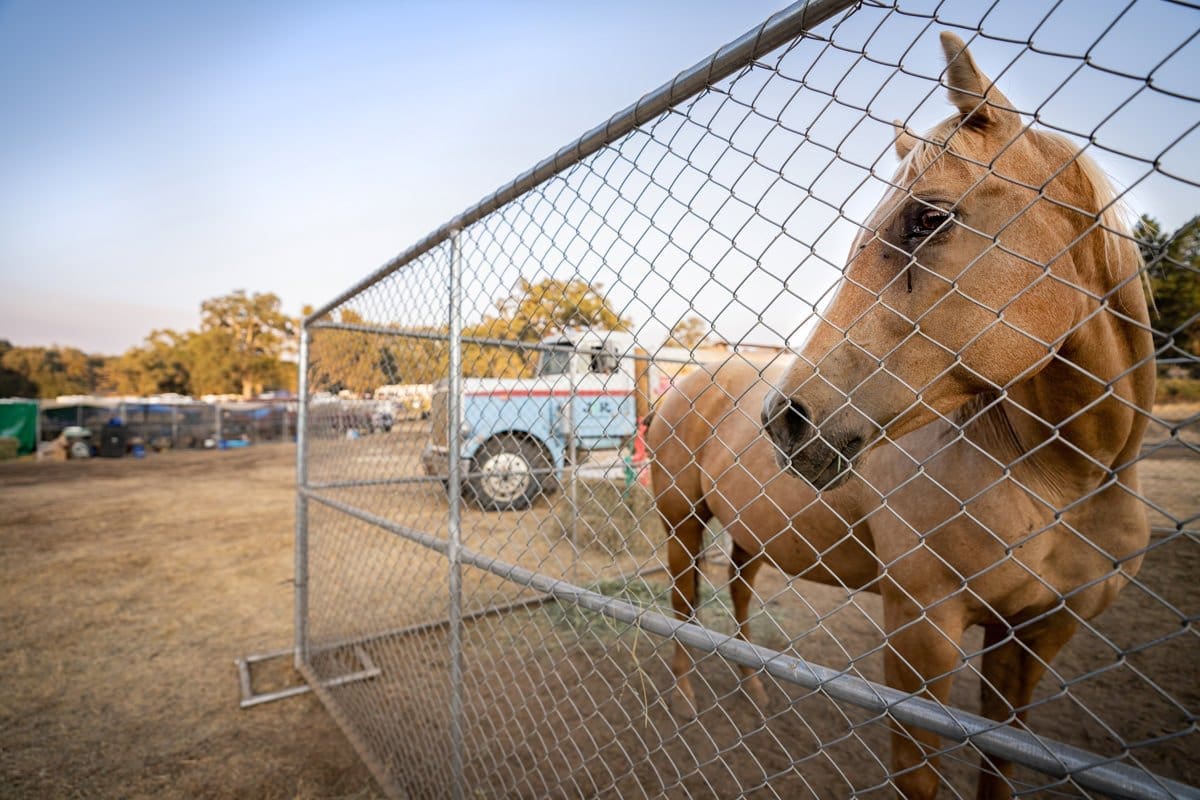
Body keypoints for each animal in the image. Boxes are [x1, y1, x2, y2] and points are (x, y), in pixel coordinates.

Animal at [652, 31, 1156, 800]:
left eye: (929, 217)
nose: (785, 420)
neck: (1061, 476)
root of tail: (690, 381)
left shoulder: (1032, 637)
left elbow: (1001, 763)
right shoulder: (922, 632)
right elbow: (919, 776)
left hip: (750, 534)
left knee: (736, 595)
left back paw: (755, 690)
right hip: (683, 523)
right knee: (684, 610)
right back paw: (682, 703)